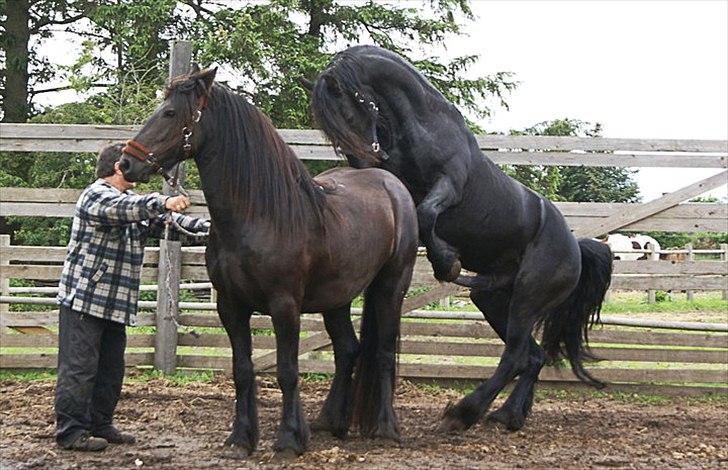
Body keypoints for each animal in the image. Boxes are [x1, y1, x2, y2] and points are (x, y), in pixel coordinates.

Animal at [117, 68, 418, 458]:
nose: (126, 162)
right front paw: (240, 438)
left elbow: (287, 370)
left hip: (390, 286)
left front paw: (289, 439)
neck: (257, 216)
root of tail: (391, 185)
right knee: (347, 349)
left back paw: (385, 428)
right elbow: (243, 370)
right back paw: (330, 422)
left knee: (381, 350)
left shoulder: (284, 306)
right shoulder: (231, 307)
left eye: (169, 113)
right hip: (336, 297)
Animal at [308, 46, 616, 432]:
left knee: (516, 356)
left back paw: (463, 413)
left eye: (348, 108)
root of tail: (575, 247)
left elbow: (427, 214)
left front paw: (447, 262)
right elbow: (421, 217)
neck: (424, 126)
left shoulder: (449, 185)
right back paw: (507, 415)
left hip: (528, 298)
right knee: (532, 356)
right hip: (494, 301)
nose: (366, 161)